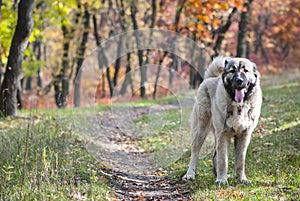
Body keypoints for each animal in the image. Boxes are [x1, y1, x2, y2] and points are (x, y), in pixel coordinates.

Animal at [182, 56, 262, 184]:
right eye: (232, 71)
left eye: (245, 70)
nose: (239, 80)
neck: (238, 106)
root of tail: (209, 78)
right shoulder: (223, 135)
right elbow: (223, 160)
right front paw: (222, 180)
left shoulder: (244, 135)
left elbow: (240, 161)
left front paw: (241, 178)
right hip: (200, 130)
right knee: (195, 153)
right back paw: (190, 174)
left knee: (215, 155)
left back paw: (216, 174)